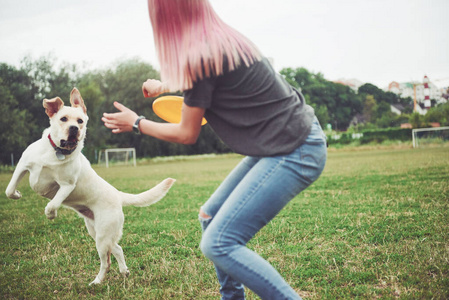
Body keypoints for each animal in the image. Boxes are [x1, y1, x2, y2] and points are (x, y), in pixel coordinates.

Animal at [5, 88, 173, 284]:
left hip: (102, 236)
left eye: (80, 121)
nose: (74, 129)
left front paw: (51, 214)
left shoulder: (66, 185)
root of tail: (118, 194)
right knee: (117, 248)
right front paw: (17, 194)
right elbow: (9, 190)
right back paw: (124, 271)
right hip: (96, 231)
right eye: (63, 119)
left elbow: (53, 203)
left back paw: (97, 282)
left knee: (106, 262)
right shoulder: (22, 166)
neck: (56, 152)